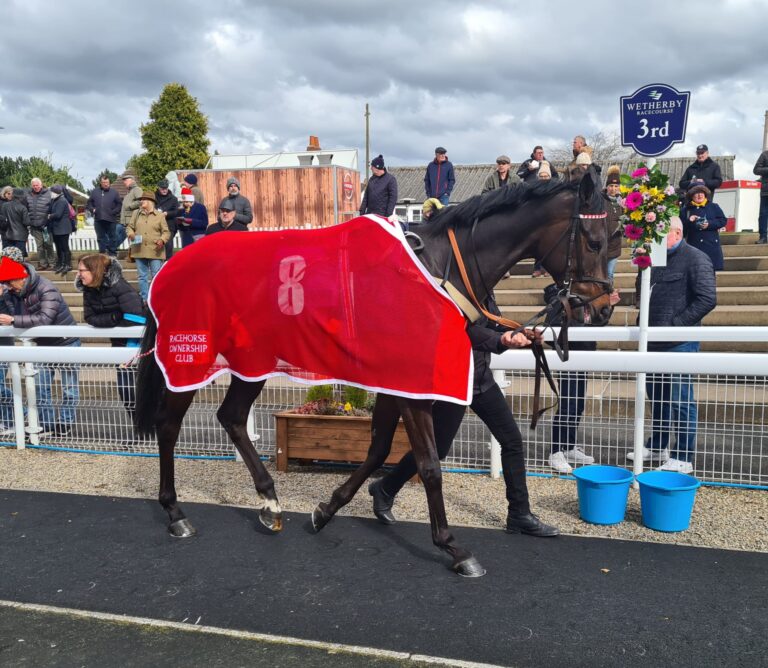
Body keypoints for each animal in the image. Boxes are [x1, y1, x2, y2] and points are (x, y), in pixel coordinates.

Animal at [133, 165, 611, 578]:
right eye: (593, 241)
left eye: (615, 238)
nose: (603, 309)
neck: (436, 269)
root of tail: (172, 265)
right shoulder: (409, 382)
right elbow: (428, 463)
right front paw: (454, 547)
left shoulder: (394, 380)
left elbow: (379, 449)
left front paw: (326, 510)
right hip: (190, 357)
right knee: (169, 425)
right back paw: (175, 513)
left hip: (253, 362)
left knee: (231, 417)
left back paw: (269, 503)